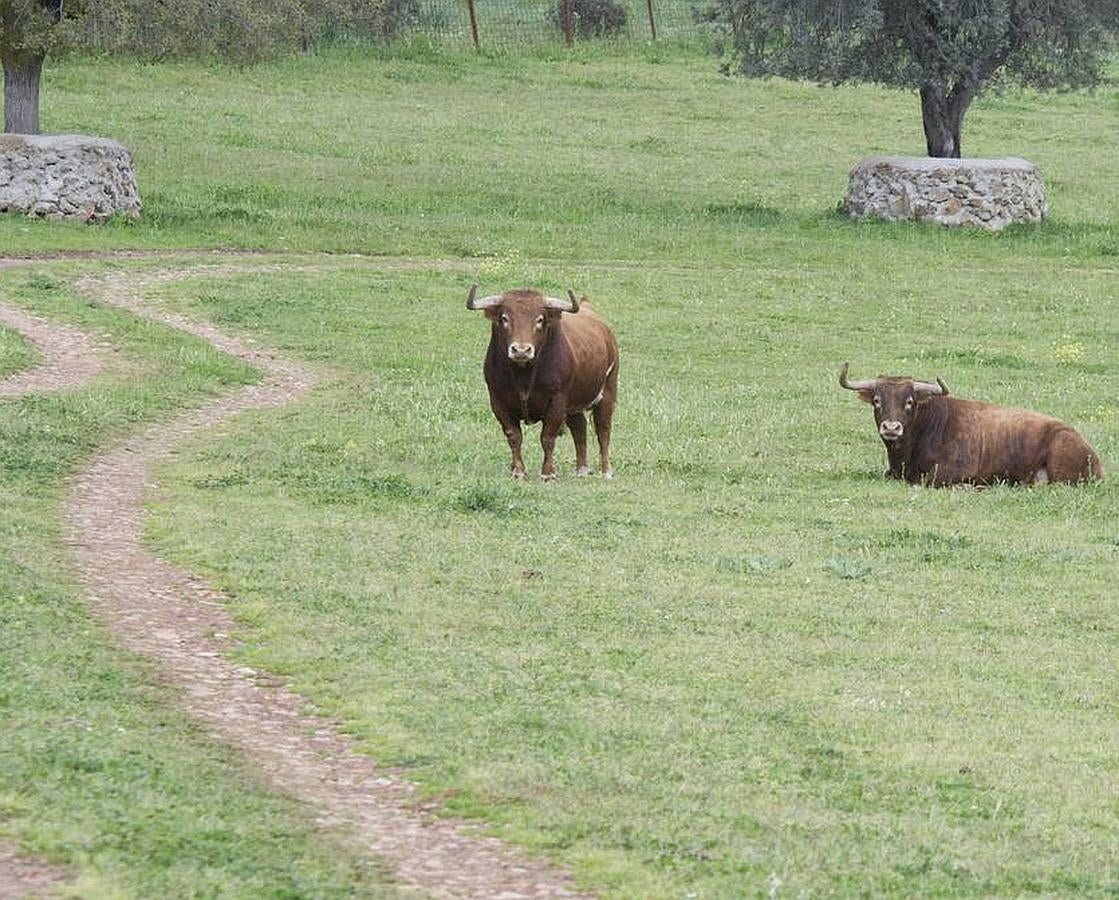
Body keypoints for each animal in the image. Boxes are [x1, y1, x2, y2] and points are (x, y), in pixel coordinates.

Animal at [465, 284, 622, 481]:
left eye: (539, 319)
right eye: (504, 318)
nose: (521, 350)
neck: (523, 377)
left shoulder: (557, 400)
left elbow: (547, 437)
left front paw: (548, 473)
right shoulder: (497, 400)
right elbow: (514, 436)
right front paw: (518, 470)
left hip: (608, 391)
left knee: (603, 430)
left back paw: (606, 470)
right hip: (574, 403)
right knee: (579, 428)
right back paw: (582, 469)